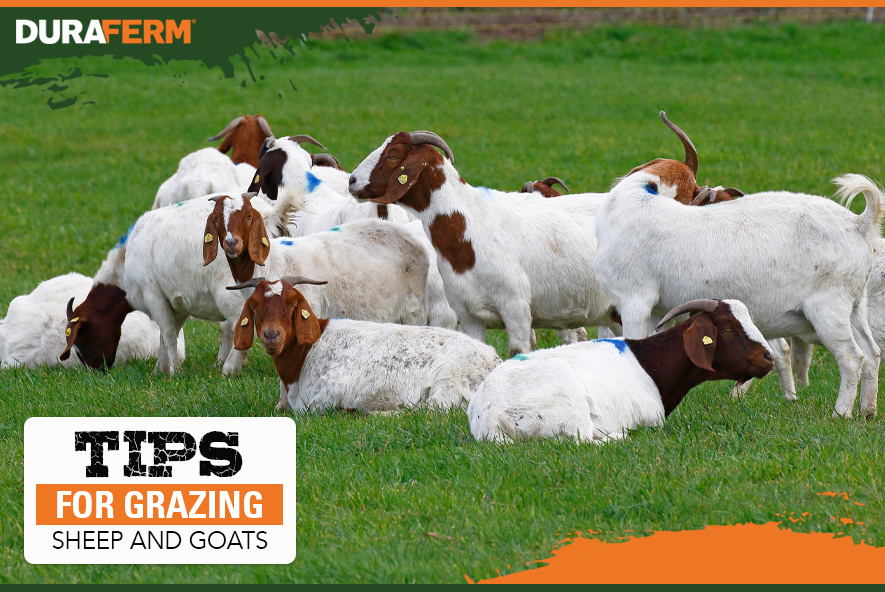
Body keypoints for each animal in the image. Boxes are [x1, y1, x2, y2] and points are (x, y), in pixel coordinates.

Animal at [60, 189, 302, 375]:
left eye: (81, 340)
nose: (96, 370)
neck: (124, 265)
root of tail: (268, 216)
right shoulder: (176, 302)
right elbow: (168, 334)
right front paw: (160, 369)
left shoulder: (153, 294)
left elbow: (167, 333)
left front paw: (173, 371)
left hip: (230, 291)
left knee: (238, 322)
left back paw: (230, 368)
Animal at [228, 276, 501, 412]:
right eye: (255, 306)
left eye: (292, 305)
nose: (271, 335)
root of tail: (494, 362)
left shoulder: (323, 397)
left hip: (448, 381)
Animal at [469, 299, 774, 443]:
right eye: (727, 327)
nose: (768, 357)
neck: (651, 361)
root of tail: (492, 418)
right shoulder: (652, 419)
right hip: (570, 408)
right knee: (581, 440)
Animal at [595, 172, 884, 418]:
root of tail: (860, 223)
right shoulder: (657, 312)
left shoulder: (634, 300)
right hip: (855, 306)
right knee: (872, 354)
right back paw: (867, 412)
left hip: (828, 308)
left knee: (852, 357)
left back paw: (841, 414)